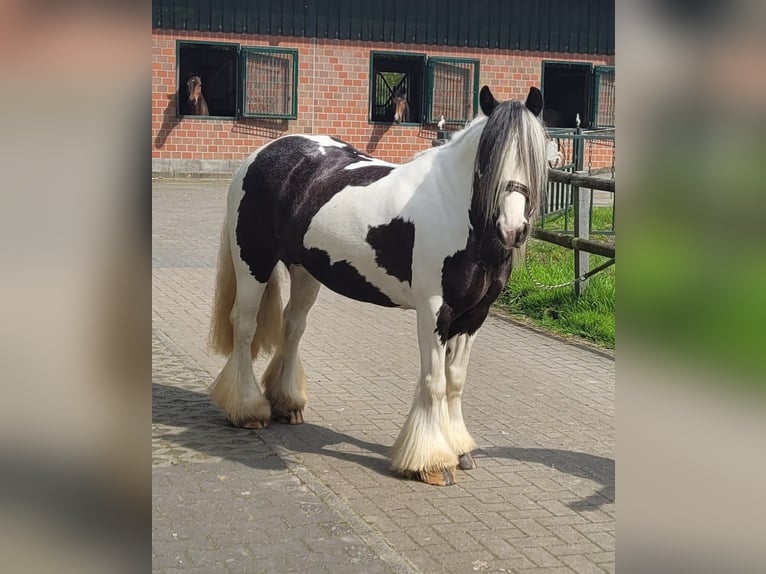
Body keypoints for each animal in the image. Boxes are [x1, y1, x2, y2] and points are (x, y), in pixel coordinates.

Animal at [207, 88, 548, 488]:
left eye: (535, 156)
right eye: (487, 160)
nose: (512, 230)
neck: (459, 215)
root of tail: (261, 154)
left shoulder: (475, 315)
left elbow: (455, 380)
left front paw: (460, 448)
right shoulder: (434, 310)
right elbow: (434, 380)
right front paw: (432, 461)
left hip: (305, 271)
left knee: (292, 328)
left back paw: (287, 404)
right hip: (253, 263)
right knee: (245, 327)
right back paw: (248, 409)